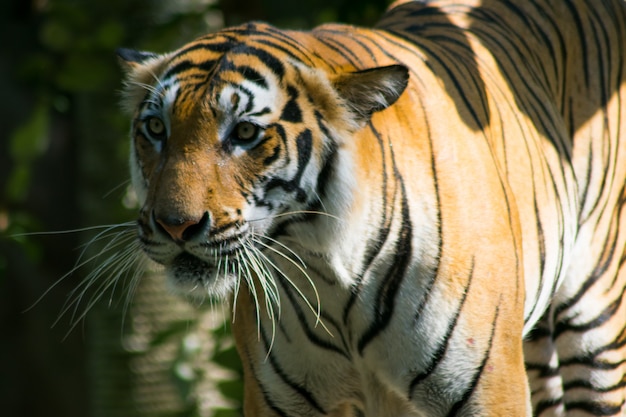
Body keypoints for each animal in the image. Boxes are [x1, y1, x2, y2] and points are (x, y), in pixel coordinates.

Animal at [116, 0, 624, 414]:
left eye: (244, 132)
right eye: (156, 128)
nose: (175, 226)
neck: (326, 271)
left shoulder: (490, 390)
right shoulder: (276, 400)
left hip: (597, 322)